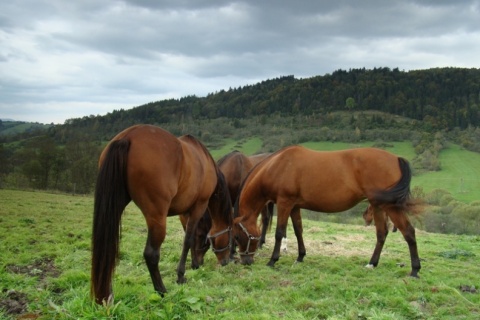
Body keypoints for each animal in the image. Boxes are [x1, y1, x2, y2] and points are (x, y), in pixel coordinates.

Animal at [234, 146, 422, 278]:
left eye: (237, 236)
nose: (245, 261)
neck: (278, 166)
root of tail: (396, 159)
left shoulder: (284, 203)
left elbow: (280, 232)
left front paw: (273, 260)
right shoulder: (294, 206)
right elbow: (298, 230)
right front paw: (300, 256)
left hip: (390, 206)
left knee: (408, 232)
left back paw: (414, 270)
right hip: (378, 206)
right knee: (382, 234)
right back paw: (372, 264)